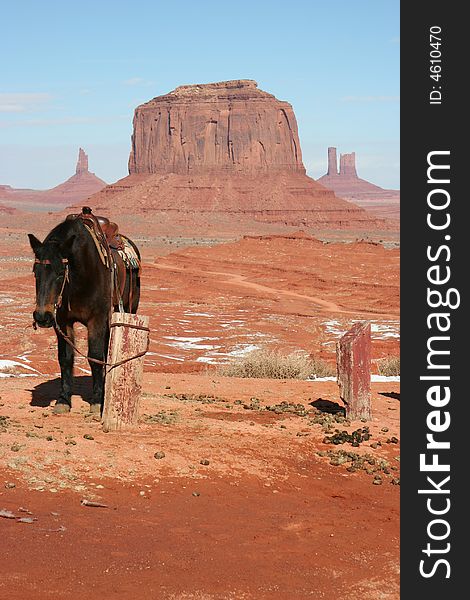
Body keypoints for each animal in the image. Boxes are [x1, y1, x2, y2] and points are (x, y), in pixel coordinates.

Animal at [27, 210, 140, 412]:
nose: (41, 317)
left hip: (129, 307)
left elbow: (94, 357)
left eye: (60, 273)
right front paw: (64, 400)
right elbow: (65, 358)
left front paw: (97, 401)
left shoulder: (96, 320)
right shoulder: (62, 321)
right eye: (35, 272)